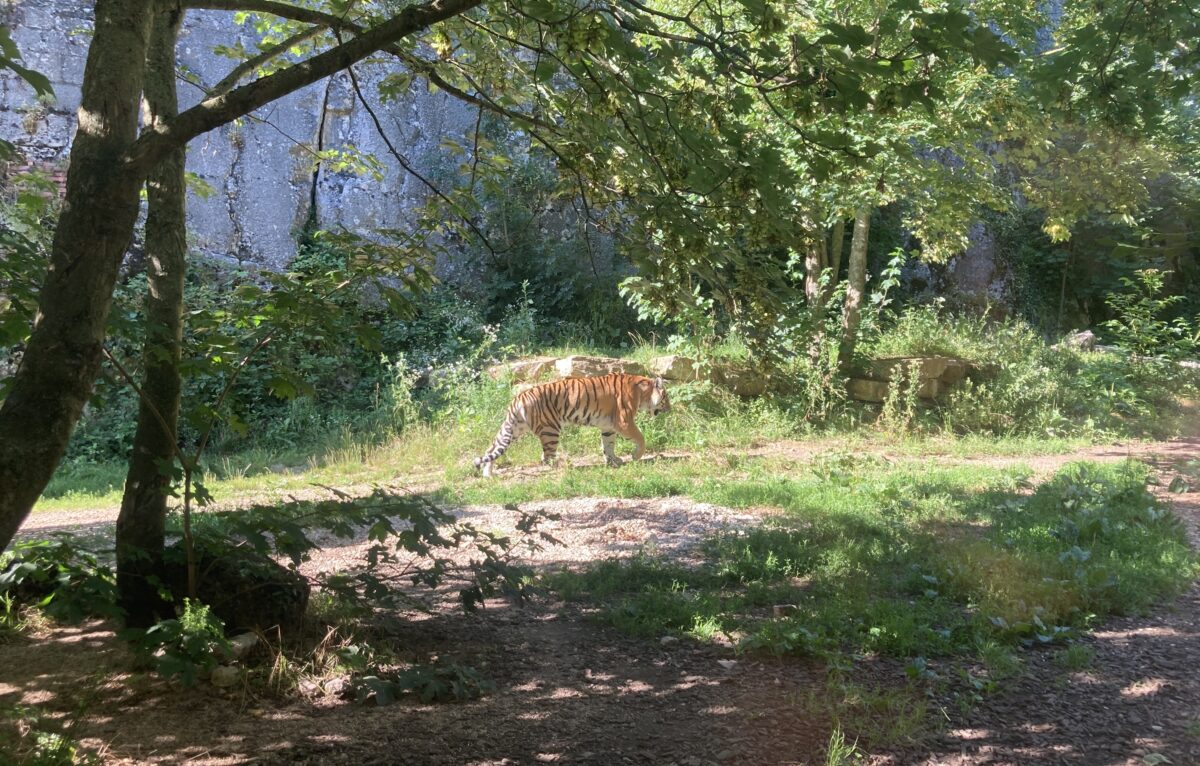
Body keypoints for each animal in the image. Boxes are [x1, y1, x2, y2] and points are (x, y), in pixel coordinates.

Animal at [472, 374, 672, 477]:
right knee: (546, 457)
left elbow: (608, 445)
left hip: (512, 429)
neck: (643, 392)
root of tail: (518, 398)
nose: (670, 409)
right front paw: (635, 456)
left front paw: (613, 461)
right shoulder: (624, 422)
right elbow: (641, 438)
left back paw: (488, 473)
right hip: (550, 430)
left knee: (492, 449)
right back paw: (564, 465)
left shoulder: (607, 426)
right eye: (666, 397)